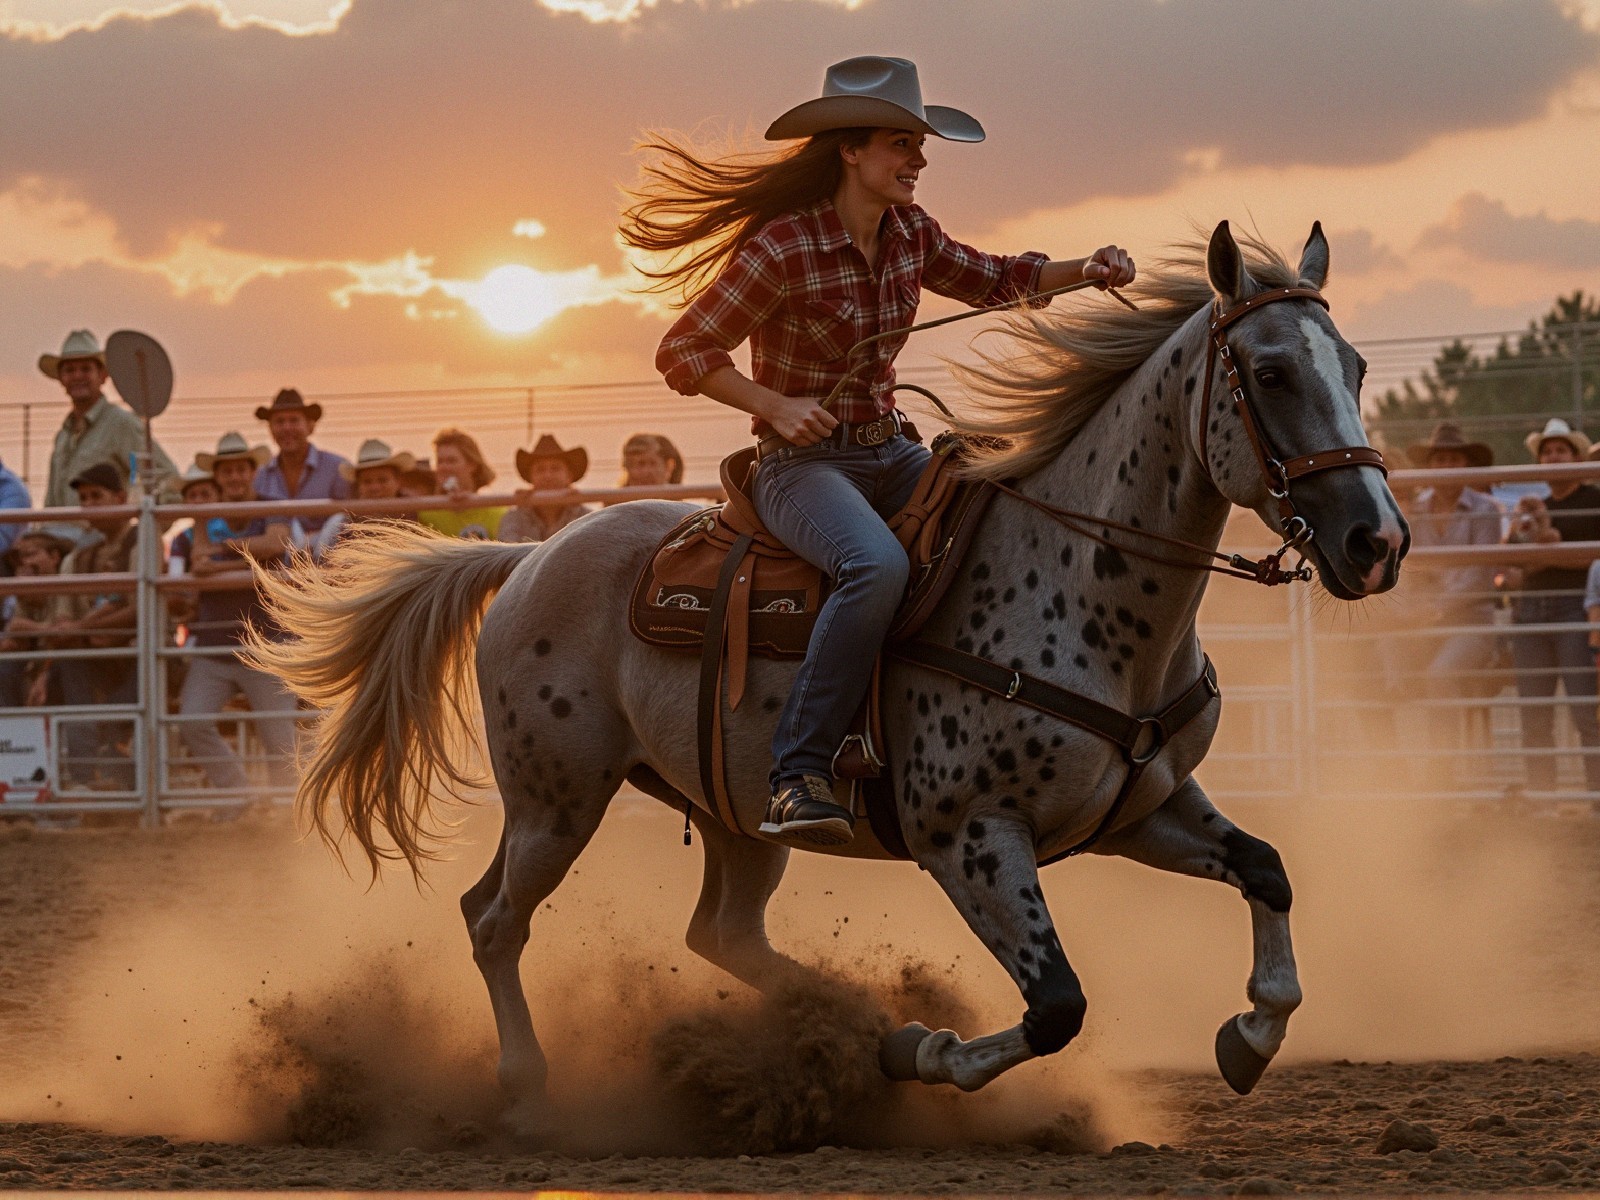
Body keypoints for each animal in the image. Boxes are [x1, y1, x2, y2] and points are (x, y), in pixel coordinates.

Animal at [249, 221, 1408, 1135]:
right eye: (1270, 373)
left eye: (1353, 366)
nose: (1378, 540)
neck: (1080, 584)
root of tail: (526, 555)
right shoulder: (969, 838)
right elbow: (1058, 1008)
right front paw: (927, 1054)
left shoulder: (1140, 808)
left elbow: (1267, 871)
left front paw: (1250, 1035)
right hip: (556, 799)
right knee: (496, 921)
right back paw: (534, 1092)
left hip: (730, 815)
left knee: (712, 933)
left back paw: (847, 1025)